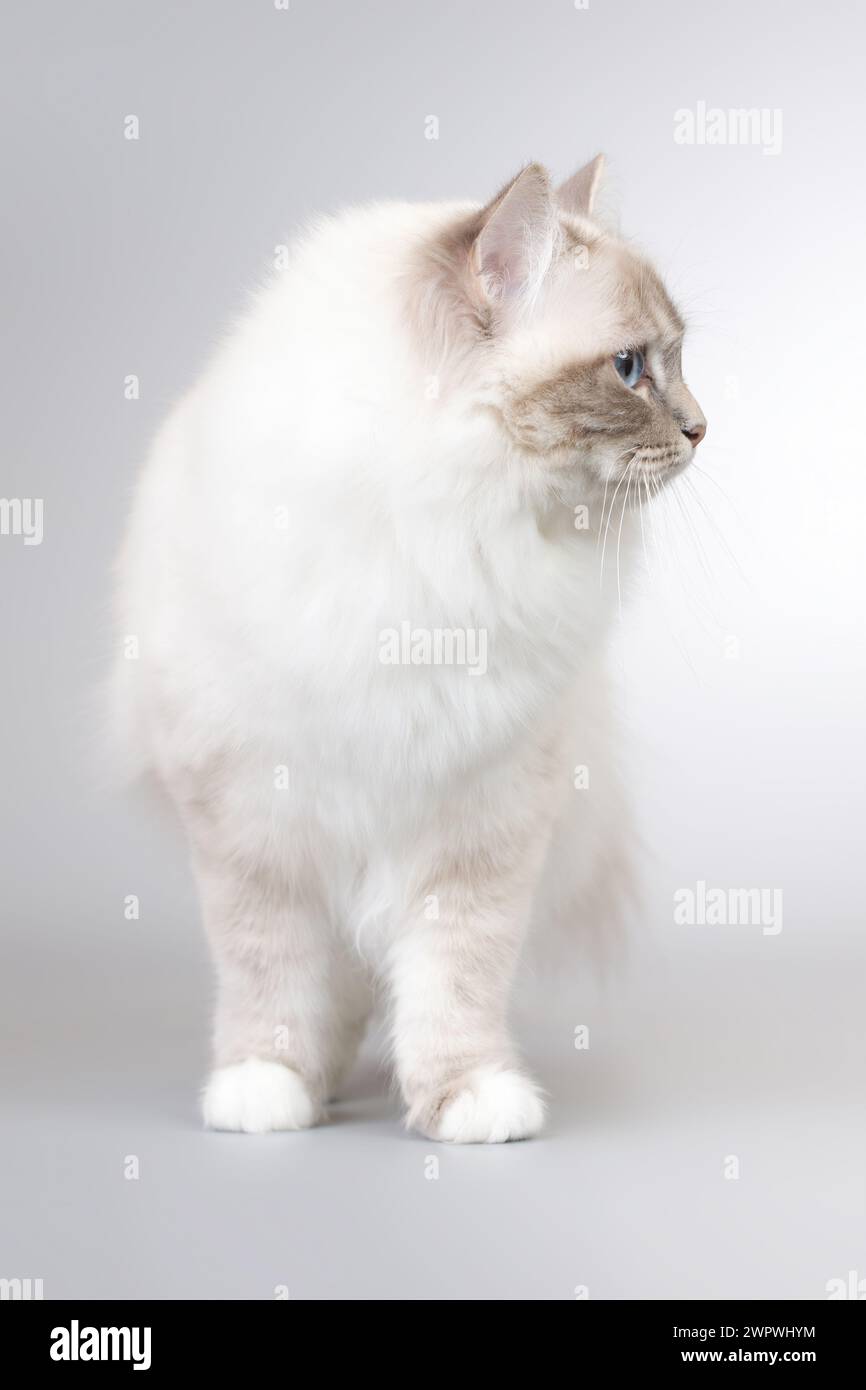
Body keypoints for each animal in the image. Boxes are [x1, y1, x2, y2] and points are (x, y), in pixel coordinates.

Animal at [113, 157, 706, 1145]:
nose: (703, 428)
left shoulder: (481, 820)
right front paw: (267, 1085)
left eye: (681, 360)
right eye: (629, 368)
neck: (446, 538)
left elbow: (454, 978)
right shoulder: (253, 819)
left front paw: (466, 1098)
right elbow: (267, 966)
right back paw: (316, 1077)